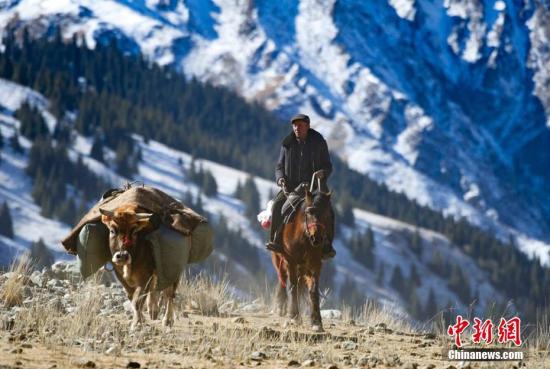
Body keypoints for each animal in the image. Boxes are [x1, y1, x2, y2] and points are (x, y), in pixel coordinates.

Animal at [272, 187, 332, 330]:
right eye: (308, 212)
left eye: (327, 214)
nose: (317, 238)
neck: (304, 238)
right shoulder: (291, 261)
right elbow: (293, 286)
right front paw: (294, 316)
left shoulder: (315, 264)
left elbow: (313, 290)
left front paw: (316, 322)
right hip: (278, 258)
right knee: (283, 278)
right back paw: (280, 307)